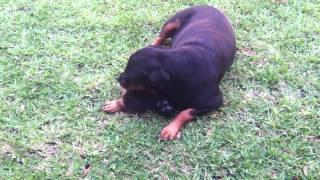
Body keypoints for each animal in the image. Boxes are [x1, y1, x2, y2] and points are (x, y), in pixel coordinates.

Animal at [102, 5, 235, 141]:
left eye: (131, 77)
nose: (119, 78)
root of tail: (210, 6)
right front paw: (116, 103)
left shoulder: (214, 101)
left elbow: (186, 112)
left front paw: (170, 129)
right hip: (172, 23)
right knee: (160, 37)